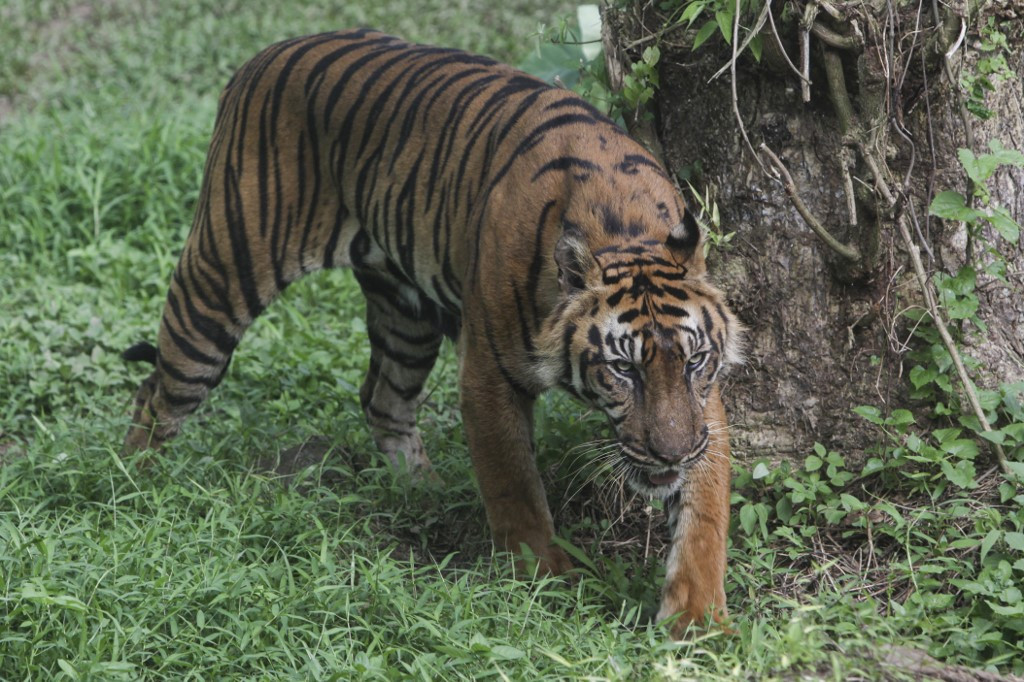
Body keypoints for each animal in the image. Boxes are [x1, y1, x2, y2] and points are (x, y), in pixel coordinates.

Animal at [121, 28, 742, 635]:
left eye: (692, 362)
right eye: (622, 369)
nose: (671, 453)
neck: (624, 227)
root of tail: (263, 56)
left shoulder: (703, 403)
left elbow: (705, 510)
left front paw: (700, 619)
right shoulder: (489, 375)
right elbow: (514, 485)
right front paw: (547, 577)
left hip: (405, 314)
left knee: (382, 400)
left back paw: (424, 495)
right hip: (220, 279)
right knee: (156, 392)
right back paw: (137, 489)